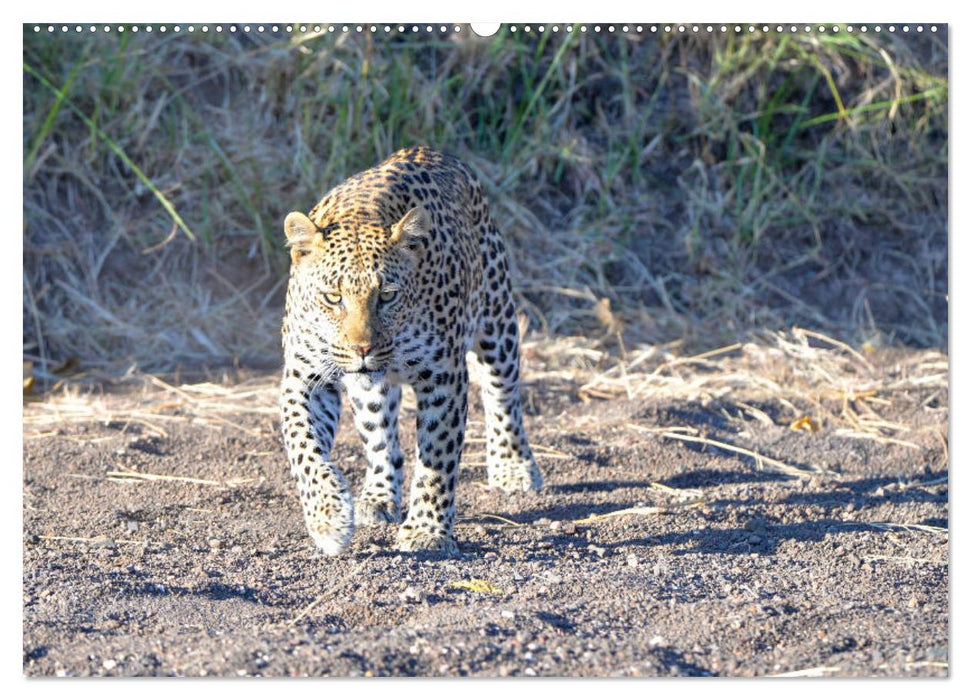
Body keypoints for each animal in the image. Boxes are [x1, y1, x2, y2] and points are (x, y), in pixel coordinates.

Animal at [278, 146, 544, 556]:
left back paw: (513, 466)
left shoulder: (444, 377)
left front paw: (426, 530)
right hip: (369, 390)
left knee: (502, 396)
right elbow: (303, 446)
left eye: (387, 295)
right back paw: (377, 495)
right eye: (333, 297)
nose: (362, 348)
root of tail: (429, 150)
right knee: (380, 436)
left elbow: (437, 457)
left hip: (497, 325)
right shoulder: (305, 377)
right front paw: (328, 516)